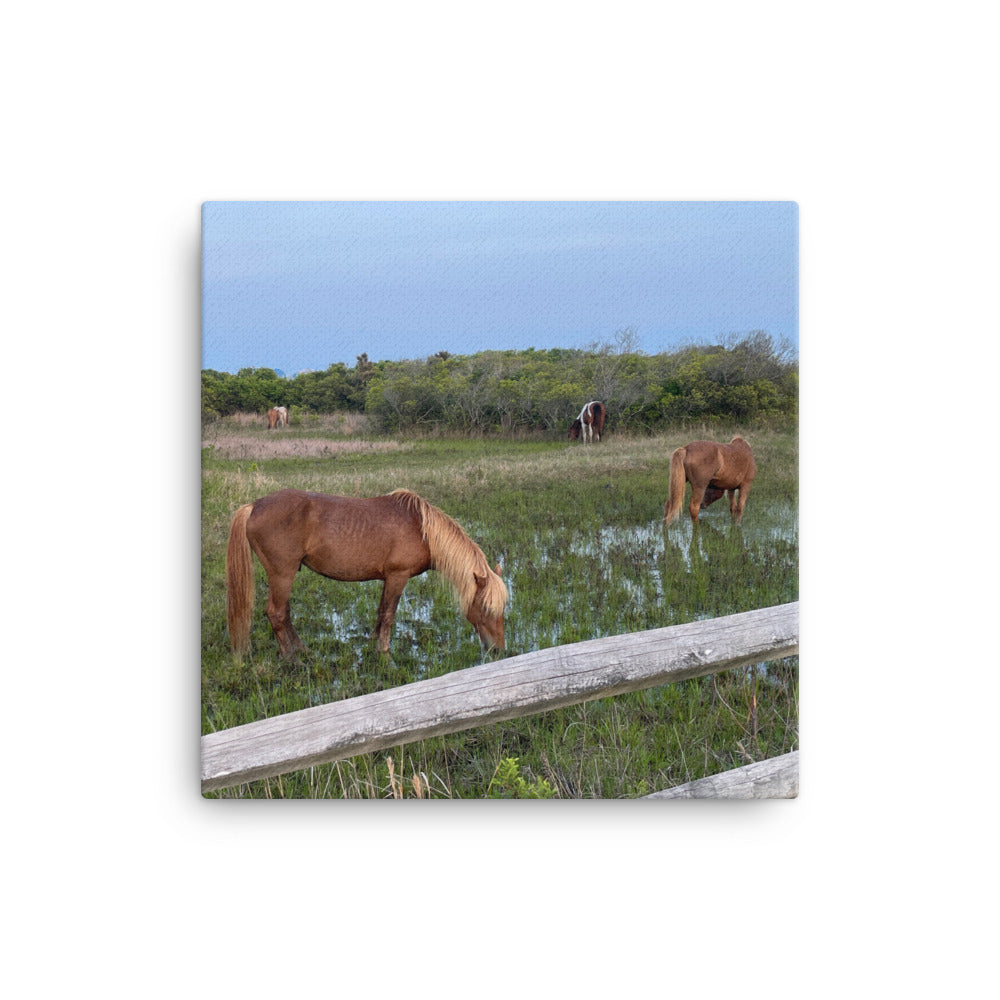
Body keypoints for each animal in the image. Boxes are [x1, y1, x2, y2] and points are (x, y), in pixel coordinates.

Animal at [227, 490, 508, 660]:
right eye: (485, 607)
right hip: (282, 575)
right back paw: (292, 658)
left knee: (284, 613)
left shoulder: (388, 579)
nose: (498, 650)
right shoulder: (398, 577)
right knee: (276, 613)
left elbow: (381, 610)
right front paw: (384, 651)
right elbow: (390, 614)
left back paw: (302, 649)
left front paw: (372, 641)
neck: (422, 529)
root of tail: (254, 506)